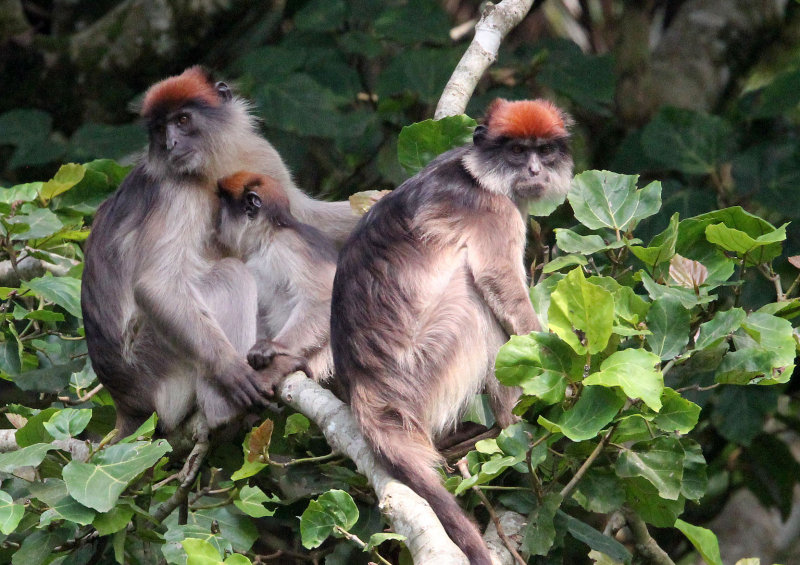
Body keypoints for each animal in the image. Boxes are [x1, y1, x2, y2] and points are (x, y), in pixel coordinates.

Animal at [215, 171, 337, 384]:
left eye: (222, 203)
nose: (216, 219)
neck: (269, 235)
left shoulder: (288, 245)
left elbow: (324, 298)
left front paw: (277, 347)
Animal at [330, 99, 573, 564]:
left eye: (544, 151)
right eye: (517, 152)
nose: (534, 169)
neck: (477, 173)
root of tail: (366, 386)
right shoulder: (494, 211)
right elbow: (498, 282)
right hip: (427, 363)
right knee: (476, 300)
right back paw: (511, 424)